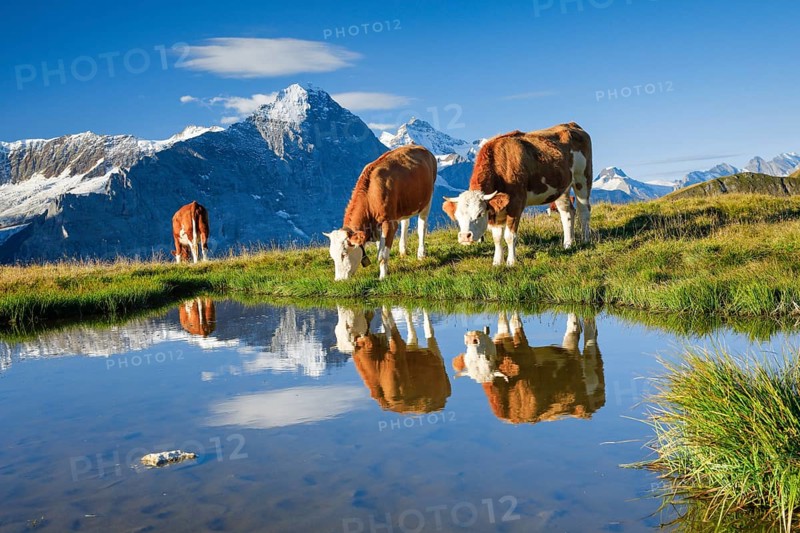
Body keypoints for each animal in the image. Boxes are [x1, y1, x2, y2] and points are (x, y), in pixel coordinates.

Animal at [323, 145, 437, 280]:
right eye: (332, 255)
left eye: (344, 254)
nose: (339, 280)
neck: (370, 197)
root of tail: (419, 147)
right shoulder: (375, 227)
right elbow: (379, 249)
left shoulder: (389, 223)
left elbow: (382, 254)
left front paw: (382, 277)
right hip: (404, 204)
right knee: (405, 223)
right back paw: (403, 250)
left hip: (427, 200)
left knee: (422, 227)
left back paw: (421, 254)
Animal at [443, 123, 592, 266]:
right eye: (457, 216)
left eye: (479, 214)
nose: (464, 236)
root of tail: (571, 124)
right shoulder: (495, 209)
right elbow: (497, 237)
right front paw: (497, 262)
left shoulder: (516, 203)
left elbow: (509, 236)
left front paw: (511, 262)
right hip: (562, 187)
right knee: (567, 213)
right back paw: (568, 244)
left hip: (582, 178)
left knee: (583, 210)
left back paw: (586, 240)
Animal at [452, 312, 604, 425]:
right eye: (467, 353)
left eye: (487, 358)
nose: (472, 338)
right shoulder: (503, 338)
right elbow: (503, 322)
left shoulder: (524, 350)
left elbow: (515, 322)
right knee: (574, 330)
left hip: (591, 376)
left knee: (590, 341)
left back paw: (588, 322)